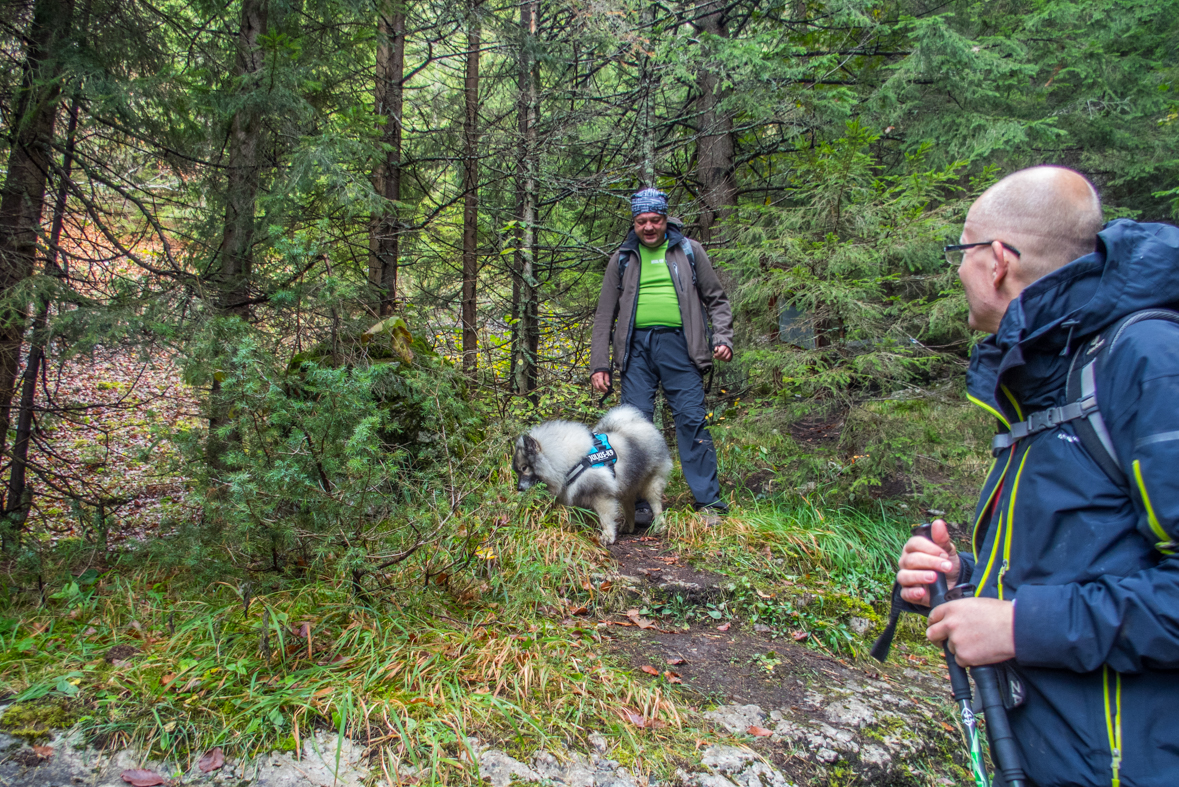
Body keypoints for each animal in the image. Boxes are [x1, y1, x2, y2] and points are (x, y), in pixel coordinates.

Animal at [514, 402, 674, 544]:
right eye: (517, 471)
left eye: (524, 468)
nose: (518, 488)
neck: (570, 460)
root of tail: (643, 424)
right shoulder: (574, 498)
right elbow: (576, 518)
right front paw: (576, 532)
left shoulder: (601, 496)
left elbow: (605, 519)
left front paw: (608, 537)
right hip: (626, 485)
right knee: (629, 506)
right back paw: (628, 527)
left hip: (651, 482)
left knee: (656, 506)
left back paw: (660, 526)